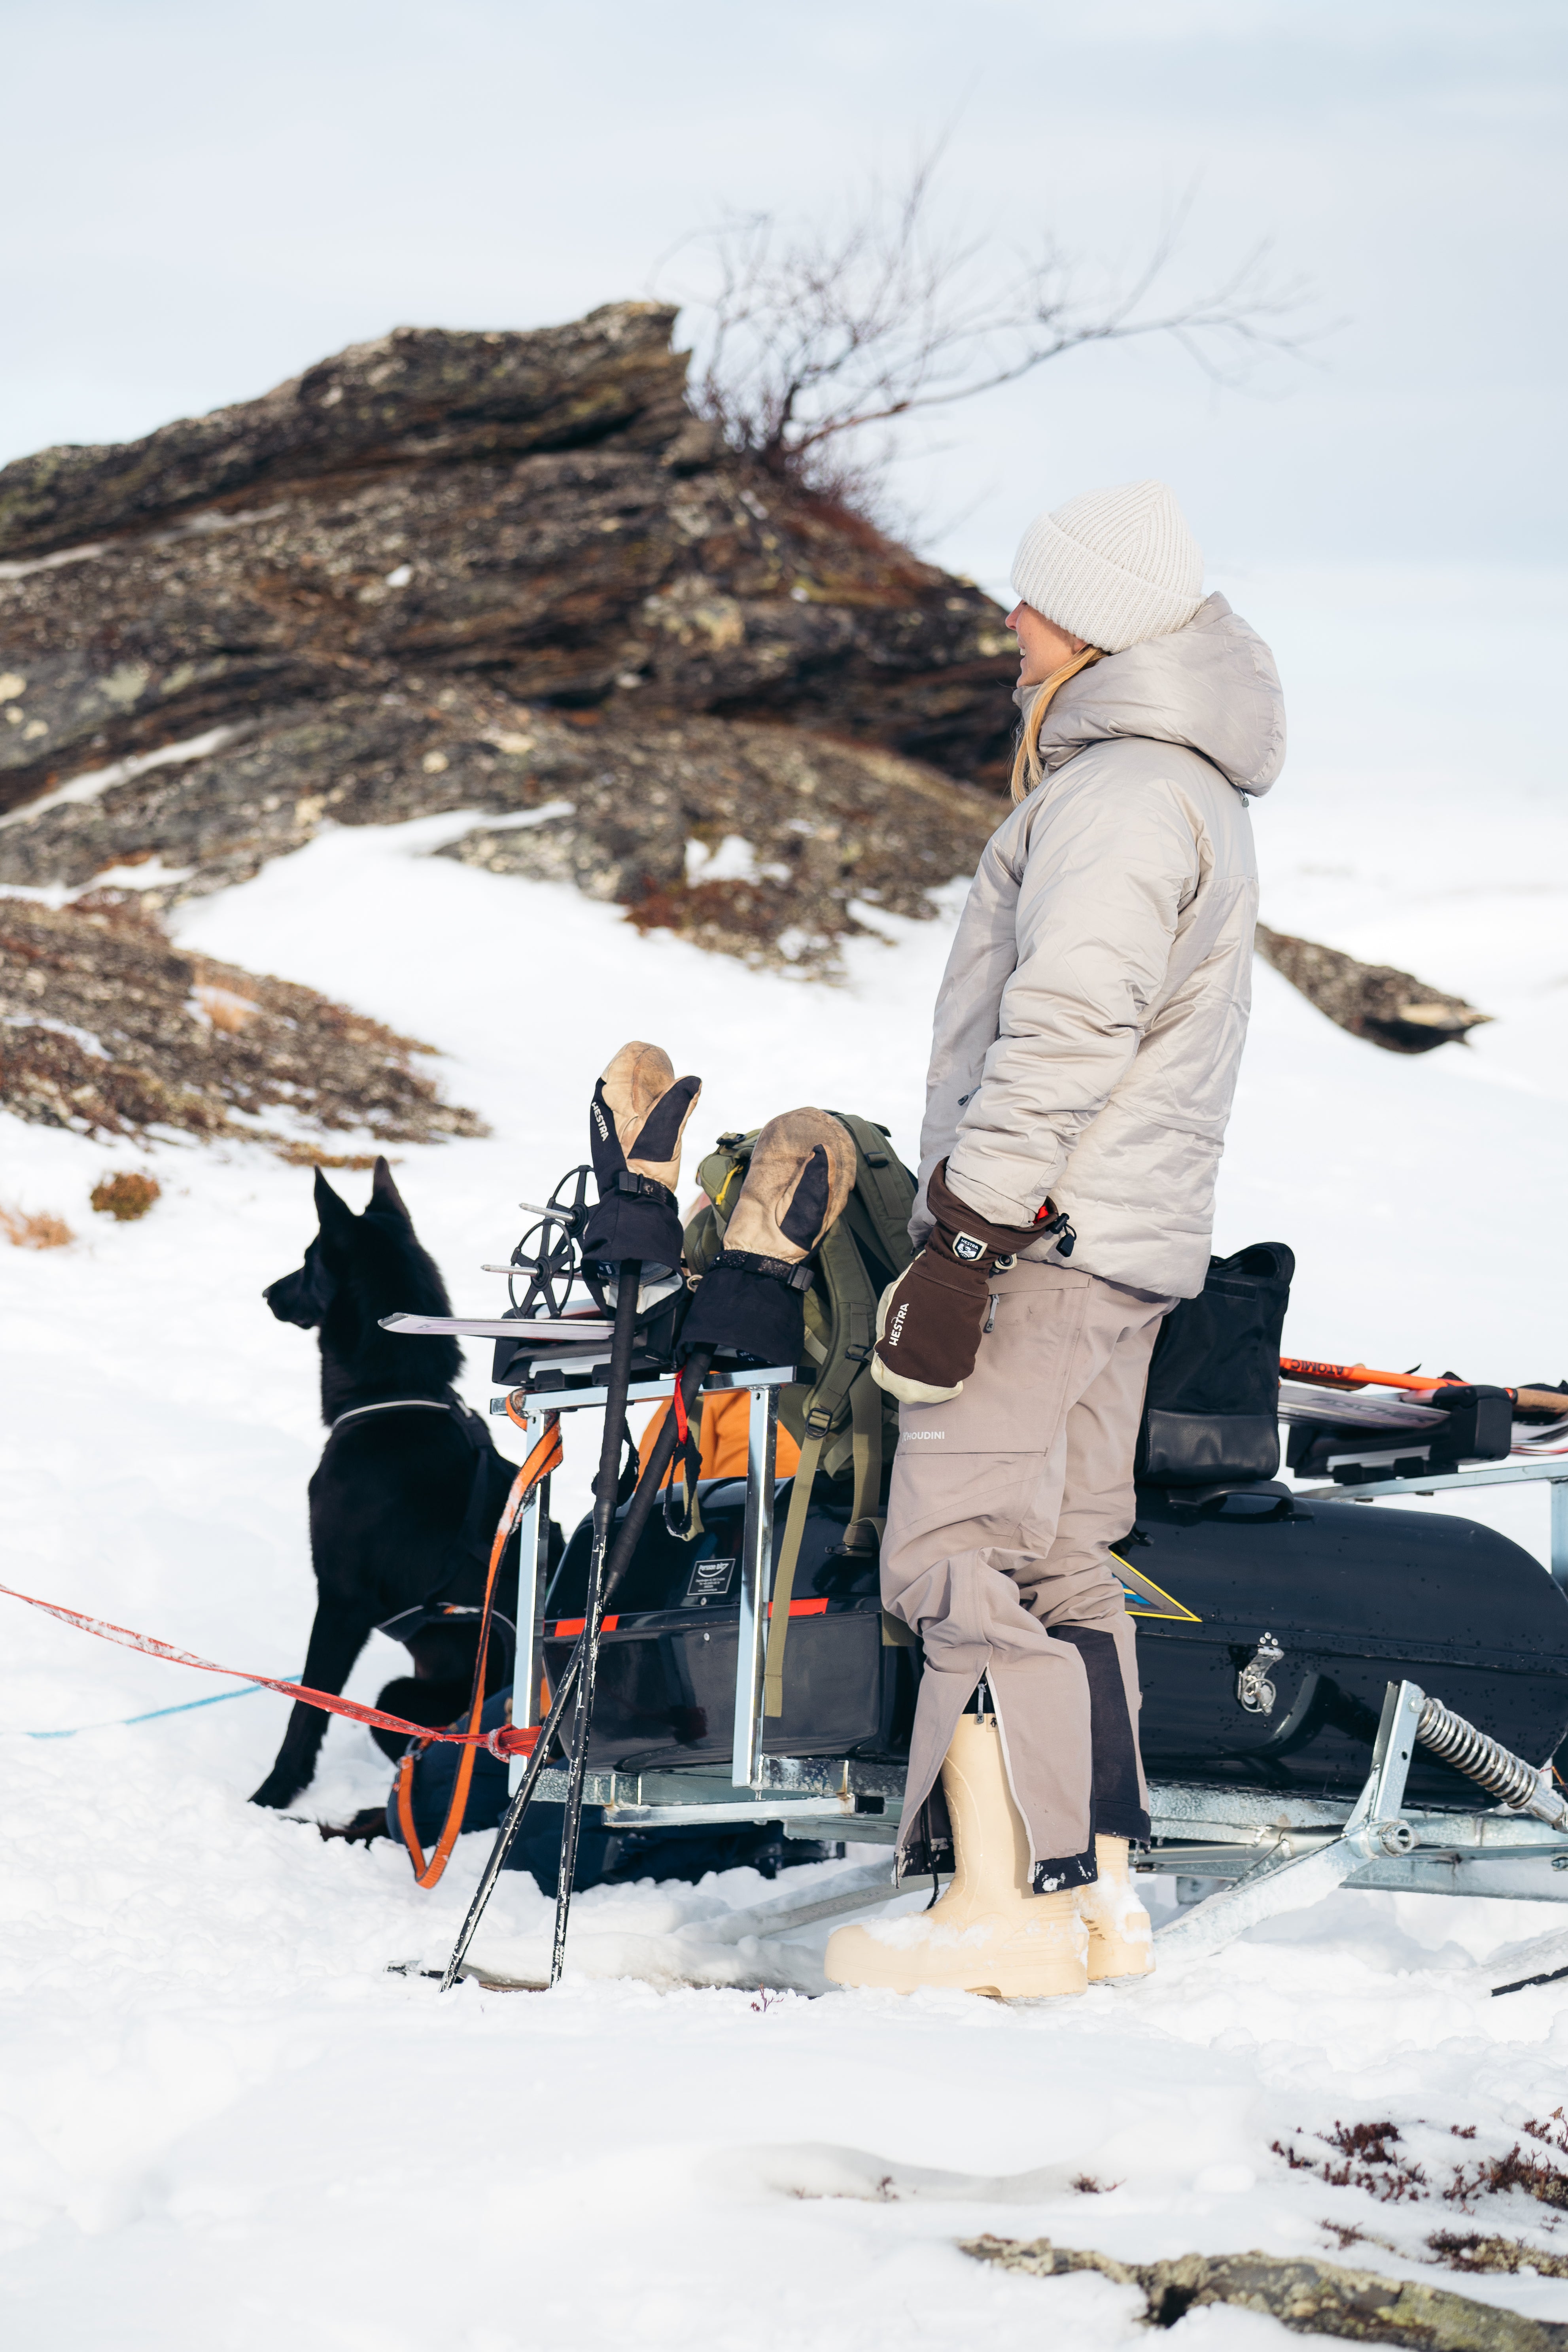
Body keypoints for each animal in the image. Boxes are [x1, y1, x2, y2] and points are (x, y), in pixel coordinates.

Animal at [252, 1167, 533, 1806]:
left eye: (307, 1260)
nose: (267, 1293)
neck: (394, 1399)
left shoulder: (341, 1600)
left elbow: (308, 1708)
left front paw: (273, 1793)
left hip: (404, 1696)